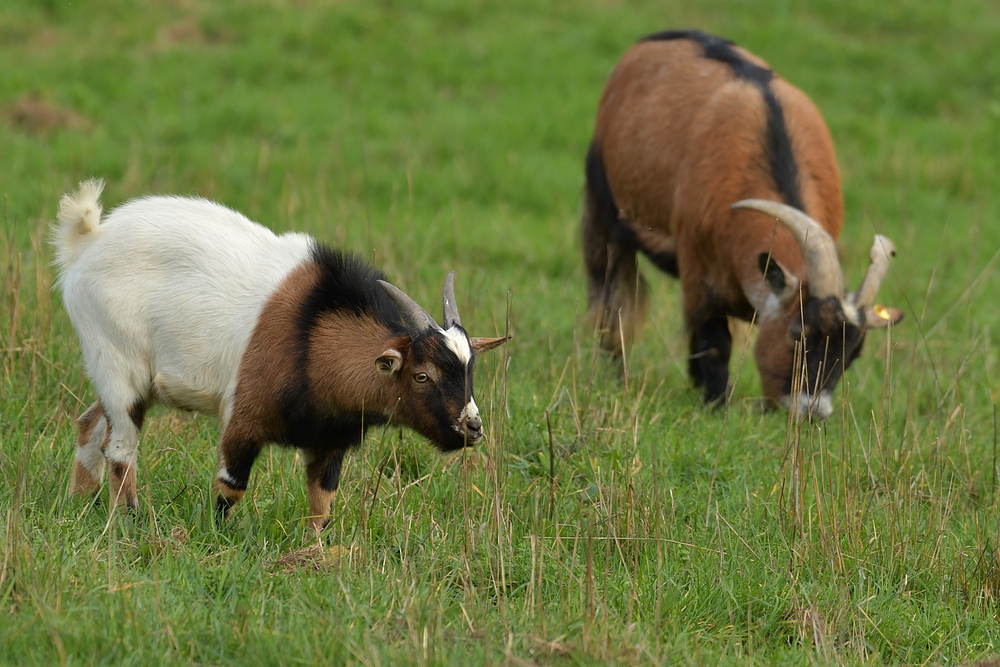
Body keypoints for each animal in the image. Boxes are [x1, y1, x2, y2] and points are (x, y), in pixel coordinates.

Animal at [54, 180, 508, 528]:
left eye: (470, 371)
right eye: (422, 375)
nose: (472, 428)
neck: (310, 333)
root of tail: (87, 241)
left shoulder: (329, 442)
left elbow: (322, 505)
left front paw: (317, 557)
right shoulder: (244, 420)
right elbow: (229, 490)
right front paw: (215, 540)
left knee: (90, 424)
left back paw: (79, 503)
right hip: (119, 365)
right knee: (120, 449)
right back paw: (130, 521)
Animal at [584, 31, 904, 420]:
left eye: (853, 354)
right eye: (798, 332)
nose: (810, 414)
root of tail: (654, 40)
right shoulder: (698, 272)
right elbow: (714, 341)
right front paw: (715, 405)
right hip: (604, 203)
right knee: (613, 296)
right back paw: (615, 371)